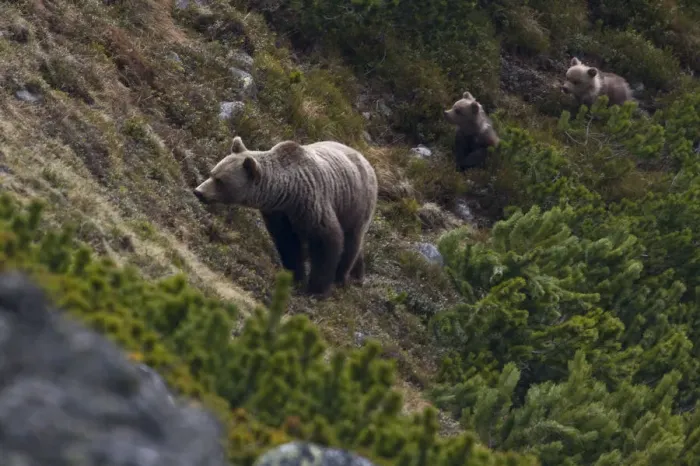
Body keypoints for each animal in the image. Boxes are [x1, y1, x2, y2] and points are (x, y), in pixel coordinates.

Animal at [193, 136, 378, 299]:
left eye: (220, 180)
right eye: (212, 172)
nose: (199, 191)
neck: (287, 195)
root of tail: (364, 158)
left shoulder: (312, 205)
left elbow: (326, 242)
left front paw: (317, 290)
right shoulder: (278, 214)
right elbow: (288, 244)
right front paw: (295, 277)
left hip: (355, 202)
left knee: (351, 239)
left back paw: (342, 277)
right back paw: (357, 273)